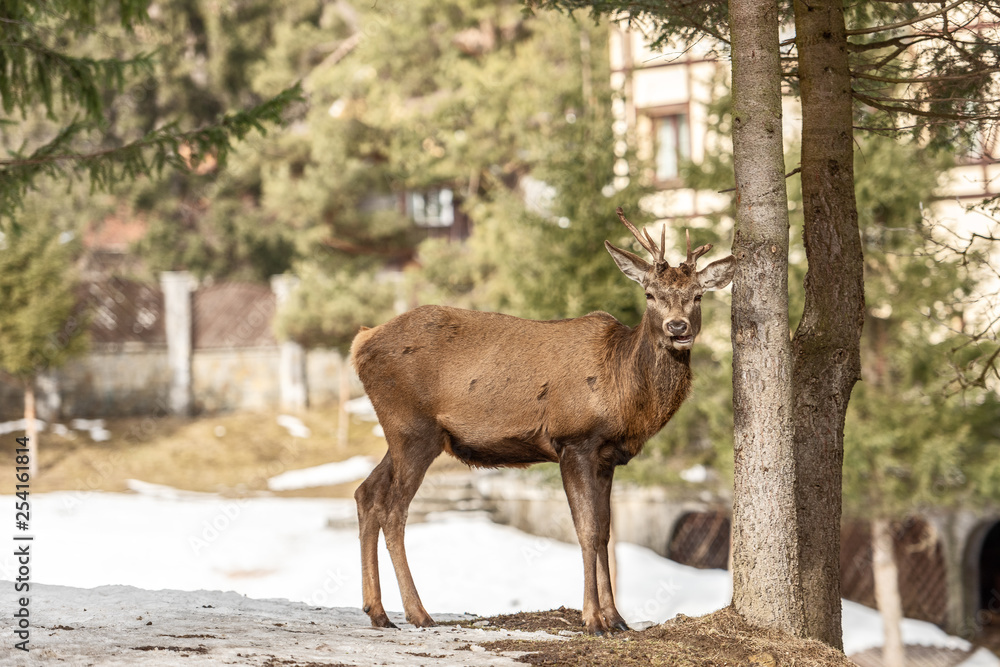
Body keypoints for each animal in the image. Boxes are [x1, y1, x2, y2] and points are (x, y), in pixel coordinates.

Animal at [350, 207, 735, 635]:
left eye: (698, 295)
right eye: (650, 294)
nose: (677, 327)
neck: (625, 394)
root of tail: (360, 343)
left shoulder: (607, 457)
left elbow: (605, 532)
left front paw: (617, 619)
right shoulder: (574, 441)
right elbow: (586, 530)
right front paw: (592, 619)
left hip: (404, 434)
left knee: (367, 493)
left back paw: (378, 611)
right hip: (412, 428)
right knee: (393, 509)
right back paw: (417, 612)